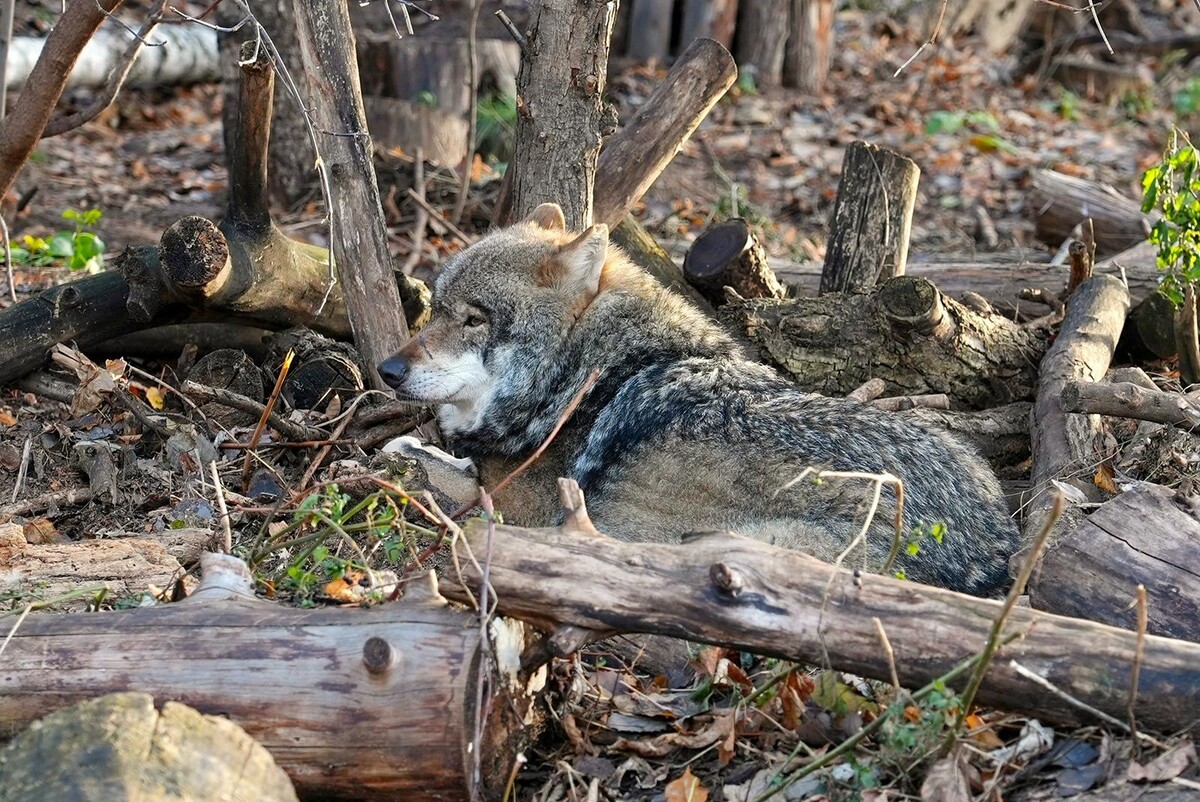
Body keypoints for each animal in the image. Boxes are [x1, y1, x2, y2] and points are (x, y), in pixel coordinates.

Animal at [378, 203, 1019, 596]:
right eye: (435, 308)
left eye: (473, 320)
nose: (387, 369)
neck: (595, 373)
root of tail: (996, 549)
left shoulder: (518, 505)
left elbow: (438, 466)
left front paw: (405, 455)